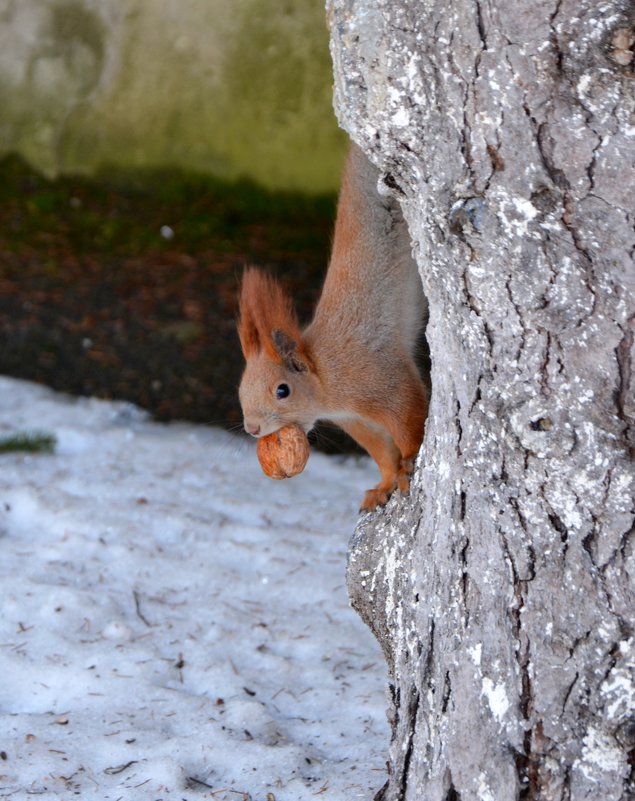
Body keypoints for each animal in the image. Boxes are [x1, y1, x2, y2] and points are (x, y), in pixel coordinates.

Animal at [236, 144, 430, 510]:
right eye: (240, 391)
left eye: (283, 390)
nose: (252, 428)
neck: (327, 380)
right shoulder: (357, 421)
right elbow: (383, 453)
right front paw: (384, 484)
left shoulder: (381, 380)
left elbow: (411, 420)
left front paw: (410, 460)